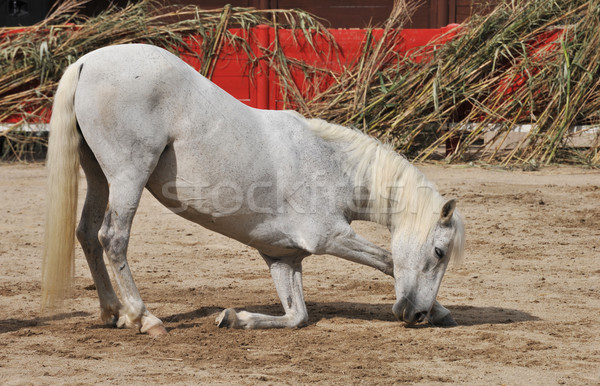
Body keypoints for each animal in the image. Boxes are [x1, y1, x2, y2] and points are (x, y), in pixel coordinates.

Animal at [42, 43, 464, 336]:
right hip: (128, 176)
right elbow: (388, 261)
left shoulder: (282, 257)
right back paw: (145, 318)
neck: (331, 163)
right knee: (112, 238)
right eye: (439, 252)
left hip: (99, 175)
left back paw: (112, 312)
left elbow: (296, 316)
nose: (414, 314)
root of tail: (86, 62)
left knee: (88, 234)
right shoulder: (329, 237)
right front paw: (441, 309)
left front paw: (235, 318)